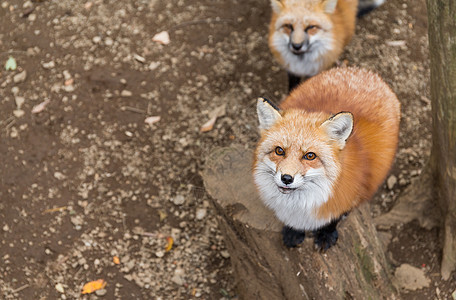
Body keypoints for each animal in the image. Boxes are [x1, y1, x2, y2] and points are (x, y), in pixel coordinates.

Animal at [253, 68, 400, 251]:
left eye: (310, 156)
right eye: (279, 151)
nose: (286, 178)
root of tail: (365, 72)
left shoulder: (350, 193)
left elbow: (335, 215)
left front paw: (326, 234)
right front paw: (293, 231)